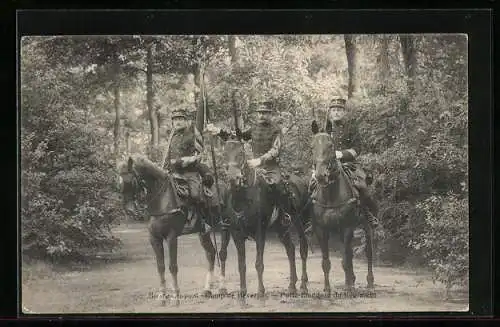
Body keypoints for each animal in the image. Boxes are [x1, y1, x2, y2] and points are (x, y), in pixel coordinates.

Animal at [117, 156, 232, 304]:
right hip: (203, 233)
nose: (130, 210)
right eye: (119, 181)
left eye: (131, 181)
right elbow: (160, 266)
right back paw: (207, 290)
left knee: (222, 254)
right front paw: (162, 295)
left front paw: (176, 295)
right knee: (211, 254)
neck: (162, 200)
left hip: (225, 227)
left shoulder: (171, 237)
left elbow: (173, 266)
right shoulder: (154, 238)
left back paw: (222, 287)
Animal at [221, 138, 310, 298]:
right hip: (281, 228)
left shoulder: (260, 232)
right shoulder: (237, 234)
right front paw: (242, 290)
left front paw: (260, 290)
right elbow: (241, 264)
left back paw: (303, 285)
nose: (233, 179)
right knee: (290, 250)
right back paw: (291, 286)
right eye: (224, 154)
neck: (245, 198)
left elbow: (259, 263)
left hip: (299, 222)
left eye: (241, 154)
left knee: (303, 247)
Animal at [308, 120, 376, 294]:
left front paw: (349, 288)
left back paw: (369, 282)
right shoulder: (322, 230)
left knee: (369, 252)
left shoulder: (347, 228)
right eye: (312, 146)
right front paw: (327, 289)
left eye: (331, 145)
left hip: (365, 226)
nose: (320, 176)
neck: (331, 195)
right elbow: (326, 262)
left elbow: (346, 259)